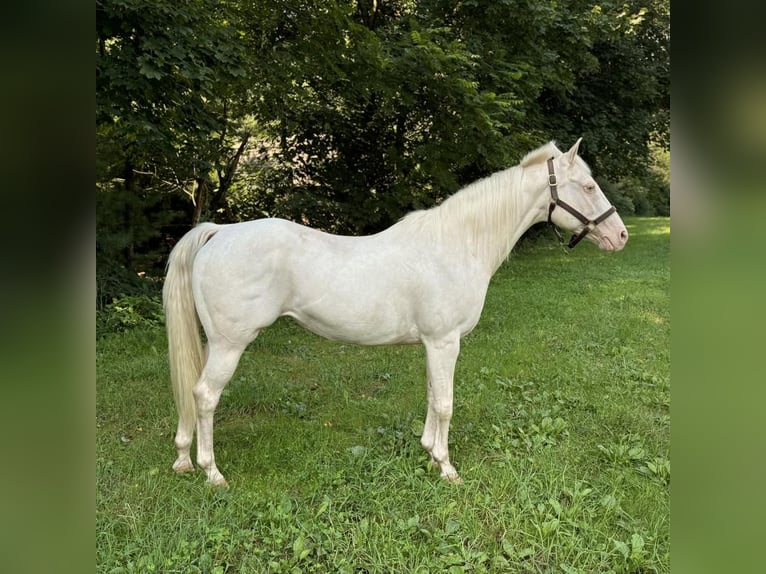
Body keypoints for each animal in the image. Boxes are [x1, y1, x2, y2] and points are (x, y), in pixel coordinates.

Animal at [164, 140, 632, 486]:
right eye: (588, 187)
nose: (621, 235)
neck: (458, 243)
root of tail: (219, 233)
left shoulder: (433, 344)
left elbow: (430, 395)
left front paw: (428, 453)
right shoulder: (445, 341)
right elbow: (445, 403)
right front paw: (447, 468)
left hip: (214, 343)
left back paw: (184, 459)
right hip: (230, 344)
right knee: (205, 395)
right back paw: (212, 473)